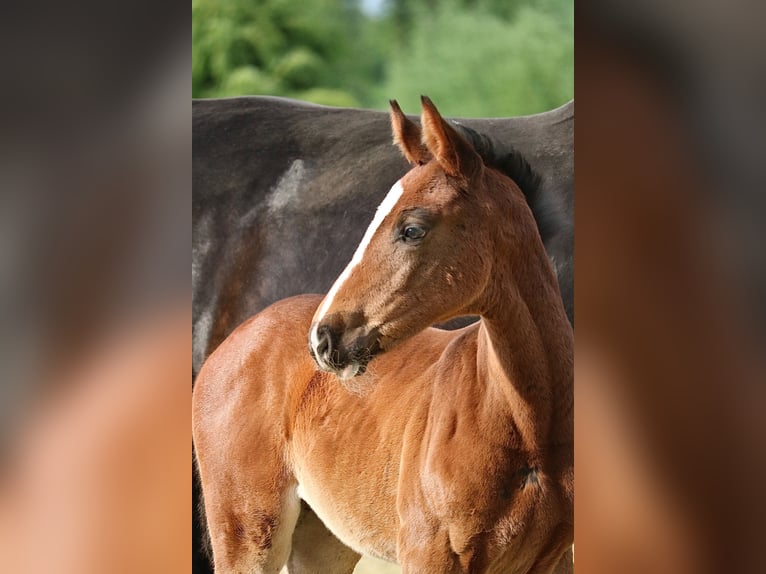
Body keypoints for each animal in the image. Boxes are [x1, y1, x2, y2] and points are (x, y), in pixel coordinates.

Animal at [194, 97, 576, 572]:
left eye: (412, 229)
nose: (323, 338)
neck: (529, 426)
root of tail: (240, 335)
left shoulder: (555, 558)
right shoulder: (429, 552)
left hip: (322, 537)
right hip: (247, 531)